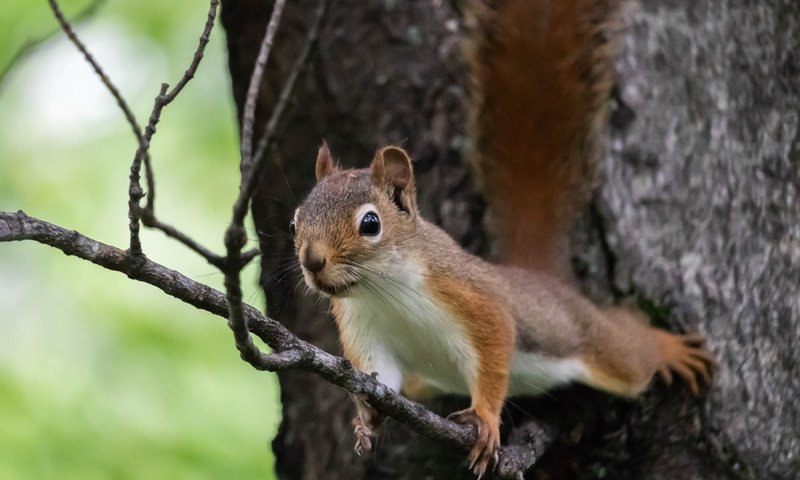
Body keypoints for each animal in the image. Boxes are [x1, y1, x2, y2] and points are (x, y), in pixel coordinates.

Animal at [290, 0, 716, 476]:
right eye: (295, 222)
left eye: (370, 224)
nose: (312, 261)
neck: (383, 292)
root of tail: (538, 277)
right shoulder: (364, 331)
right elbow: (381, 378)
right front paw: (366, 418)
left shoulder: (472, 298)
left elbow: (495, 351)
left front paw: (486, 419)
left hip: (592, 342)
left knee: (631, 348)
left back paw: (668, 348)